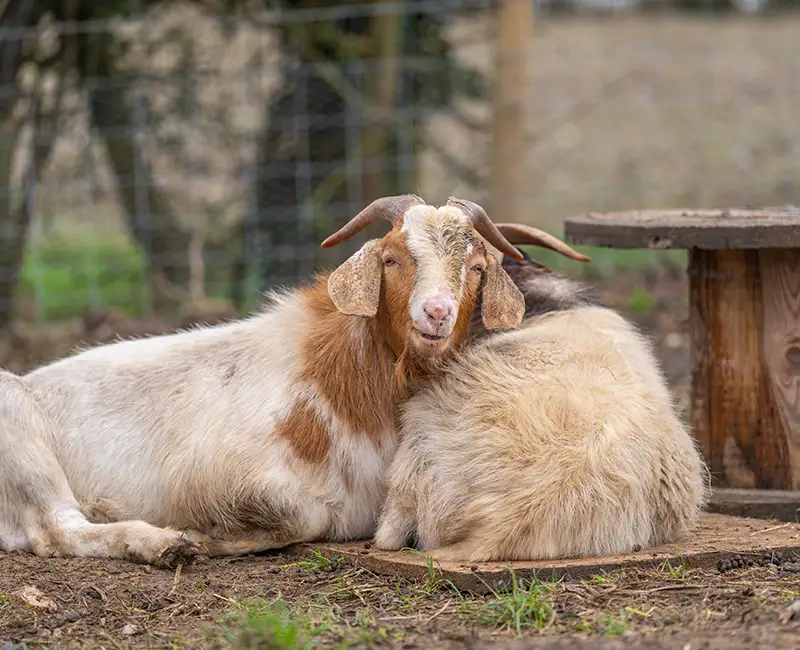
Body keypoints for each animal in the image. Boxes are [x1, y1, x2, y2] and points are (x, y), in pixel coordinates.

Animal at [0, 195, 524, 564]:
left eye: (476, 267)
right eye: (392, 258)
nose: (436, 312)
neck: (335, 381)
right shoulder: (213, 477)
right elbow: (304, 516)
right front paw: (203, 537)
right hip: (16, 422)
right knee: (56, 530)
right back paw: (158, 542)